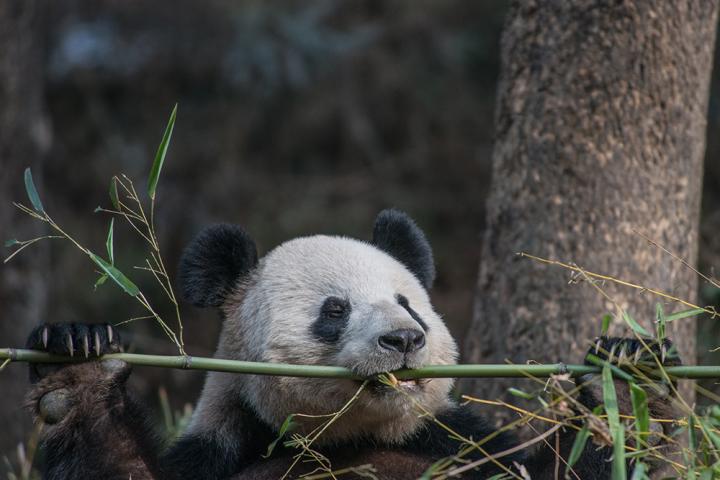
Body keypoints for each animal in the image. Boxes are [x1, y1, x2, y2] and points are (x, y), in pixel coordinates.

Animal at [25, 209, 679, 479]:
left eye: (408, 302)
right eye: (334, 310)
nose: (404, 338)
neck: (351, 438)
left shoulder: (459, 445)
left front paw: (627, 381)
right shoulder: (226, 451)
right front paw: (76, 363)